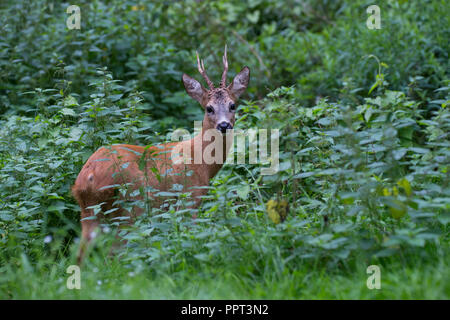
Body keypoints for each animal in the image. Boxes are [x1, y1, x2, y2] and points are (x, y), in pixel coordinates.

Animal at [72, 46, 251, 264]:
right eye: (209, 108)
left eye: (233, 105)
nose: (224, 125)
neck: (202, 162)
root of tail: (87, 176)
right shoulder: (190, 198)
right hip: (131, 204)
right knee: (117, 251)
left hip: (89, 211)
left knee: (82, 253)